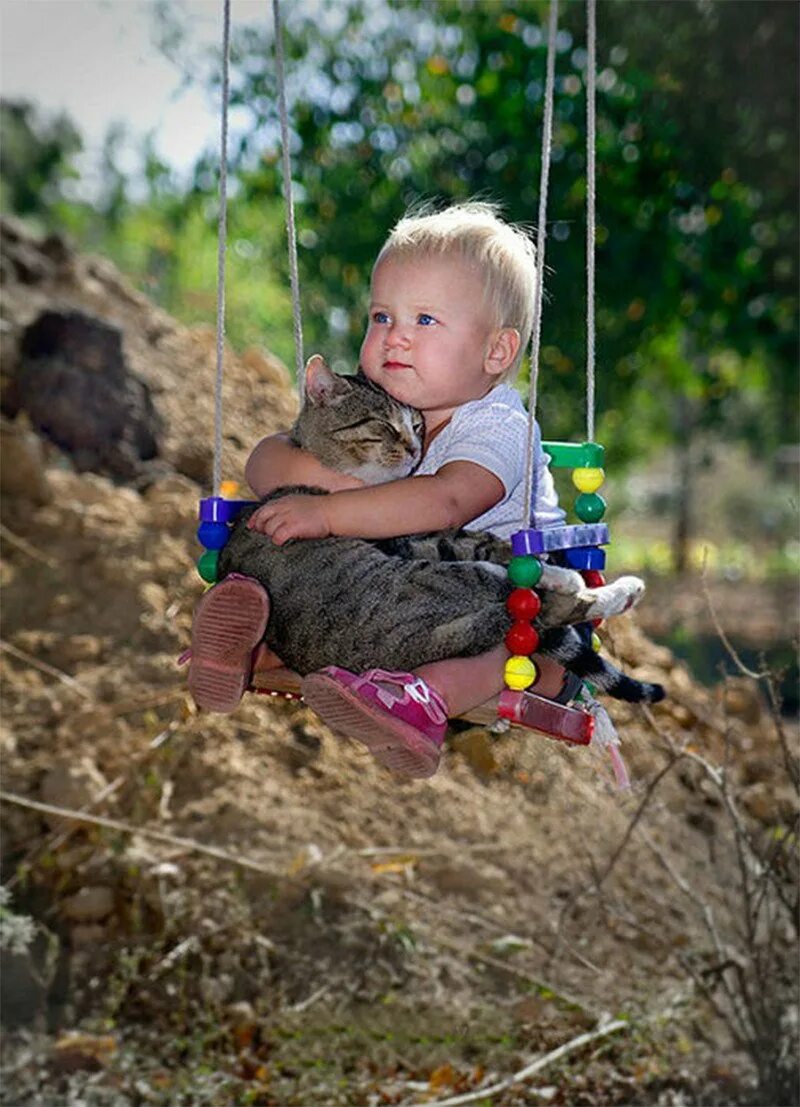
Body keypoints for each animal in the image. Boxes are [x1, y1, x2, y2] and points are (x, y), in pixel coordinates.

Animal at [219, 358, 663, 704]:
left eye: (417, 424)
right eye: (382, 425)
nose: (416, 448)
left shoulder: (417, 535)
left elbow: (483, 541)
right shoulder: (413, 540)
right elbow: (486, 546)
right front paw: (556, 571)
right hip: (438, 581)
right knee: (538, 604)